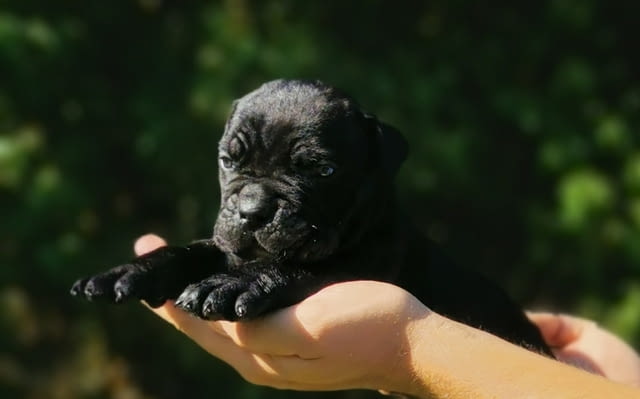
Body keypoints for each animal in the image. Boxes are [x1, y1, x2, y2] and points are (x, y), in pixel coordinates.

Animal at [70, 79, 552, 356]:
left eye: (322, 171)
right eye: (228, 161)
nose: (251, 210)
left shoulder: (354, 264)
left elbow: (294, 267)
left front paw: (232, 286)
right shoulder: (226, 245)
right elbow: (187, 251)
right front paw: (129, 271)